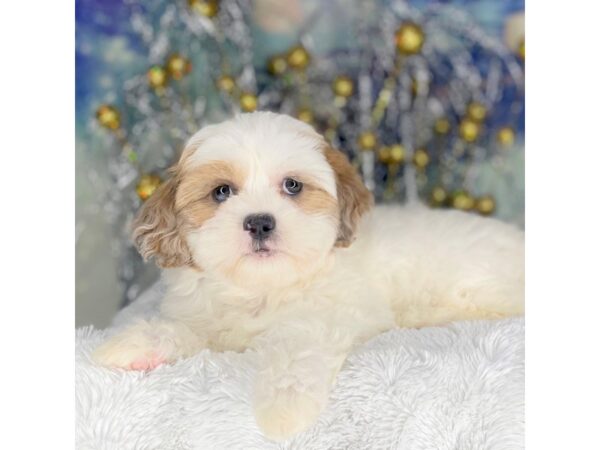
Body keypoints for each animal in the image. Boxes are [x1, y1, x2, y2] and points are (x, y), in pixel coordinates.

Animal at [92, 111, 520, 440]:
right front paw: (137, 343)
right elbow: (185, 330)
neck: (263, 287)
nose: (260, 222)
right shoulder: (205, 318)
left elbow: (295, 345)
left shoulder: (336, 313)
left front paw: (283, 409)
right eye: (222, 192)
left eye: (293, 185)